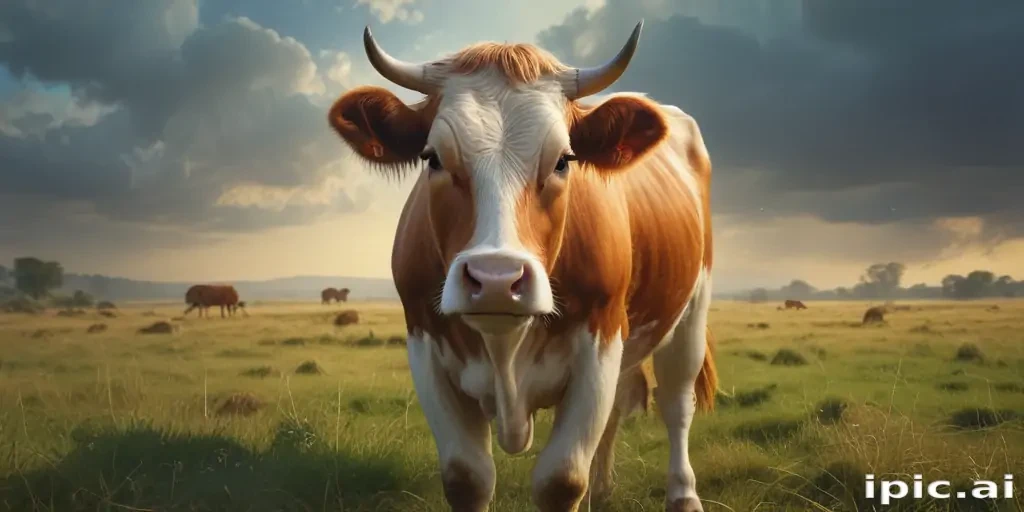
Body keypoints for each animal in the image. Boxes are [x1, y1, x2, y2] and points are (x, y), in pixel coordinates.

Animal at [327, 22, 718, 512]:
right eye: (432, 158)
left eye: (564, 160)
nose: (496, 280)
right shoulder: (423, 342)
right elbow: (467, 478)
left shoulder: (601, 339)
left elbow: (562, 479)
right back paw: (604, 489)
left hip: (692, 310)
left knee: (676, 403)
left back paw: (683, 495)